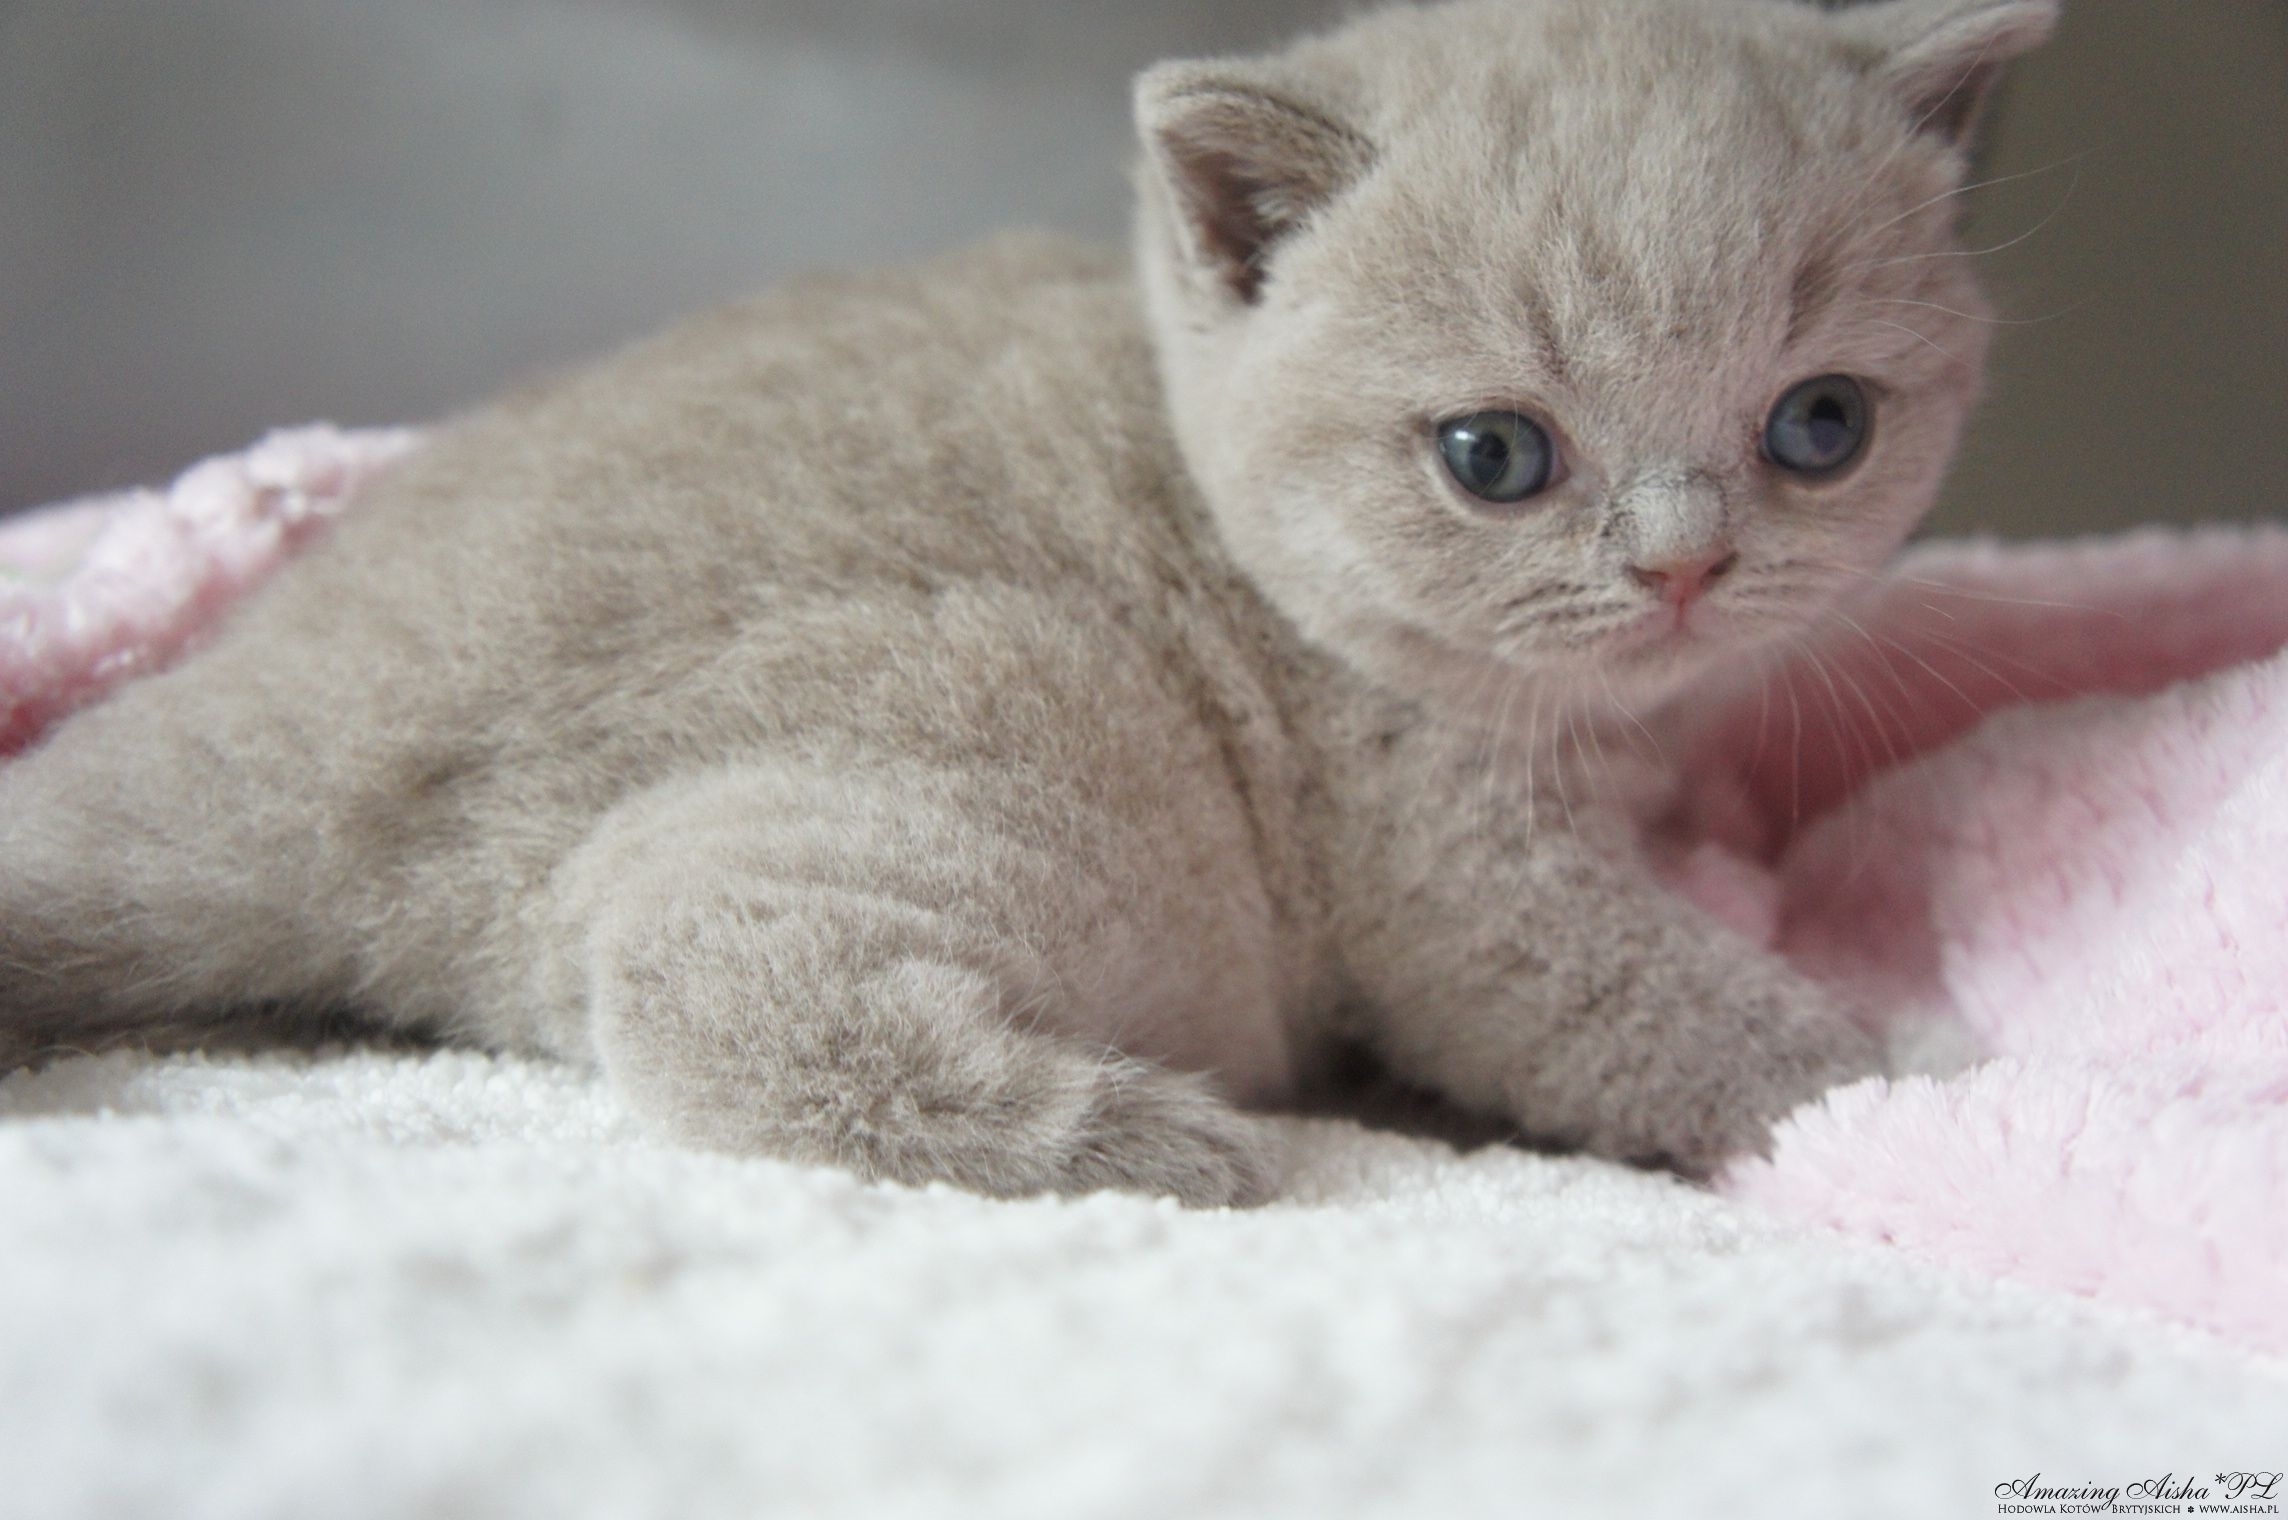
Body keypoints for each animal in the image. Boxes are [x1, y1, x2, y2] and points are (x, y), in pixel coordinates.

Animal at [0, 0, 2055, 1205]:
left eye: (1819, 427)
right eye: (1494, 457)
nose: (1683, 564)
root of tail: (288, 690)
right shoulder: (1458, 882)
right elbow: (1678, 1016)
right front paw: (1922, 1066)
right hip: (1028, 722)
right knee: (687, 966)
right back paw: (1147, 1133)